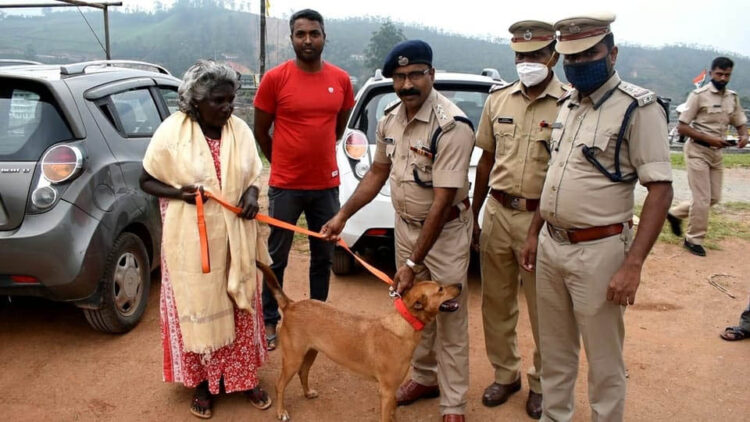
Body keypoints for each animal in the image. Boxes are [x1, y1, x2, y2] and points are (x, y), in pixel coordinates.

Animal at [256, 262, 462, 420]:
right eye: (440, 289)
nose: (460, 284)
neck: (405, 322)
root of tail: (291, 304)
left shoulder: (393, 392)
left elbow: (394, 413)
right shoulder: (386, 391)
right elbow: (387, 417)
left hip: (310, 352)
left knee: (303, 373)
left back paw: (307, 393)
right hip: (293, 358)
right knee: (280, 385)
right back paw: (281, 412)